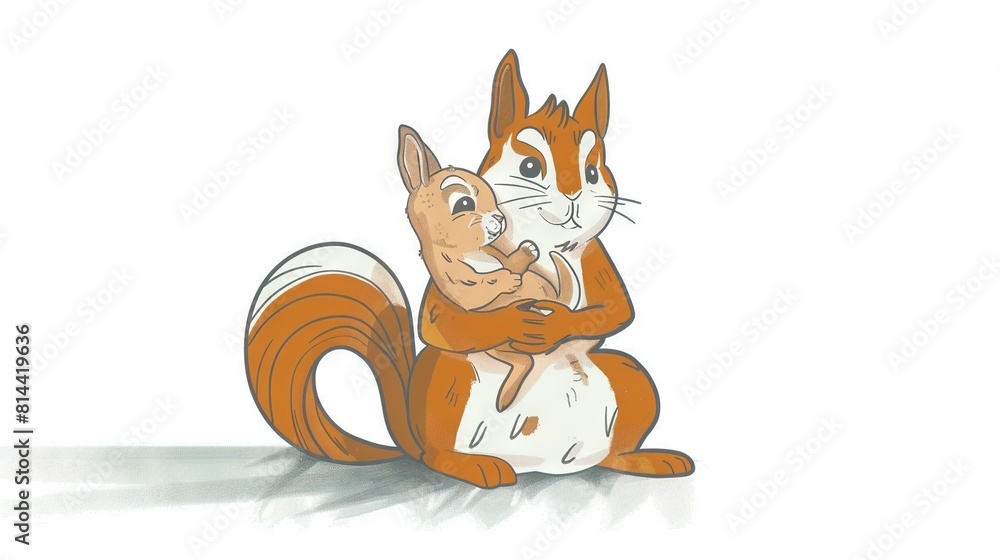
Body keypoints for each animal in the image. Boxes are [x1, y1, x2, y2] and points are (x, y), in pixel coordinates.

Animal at [244, 49, 693, 488]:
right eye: (530, 168)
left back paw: (648, 459)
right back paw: (475, 464)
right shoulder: (454, 285)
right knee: (436, 453)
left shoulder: (595, 258)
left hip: (632, 380)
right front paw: (516, 313)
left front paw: (552, 322)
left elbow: (617, 310)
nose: (574, 194)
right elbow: (442, 322)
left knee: (616, 443)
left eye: (593, 172)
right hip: (450, 384)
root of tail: (542, 463)